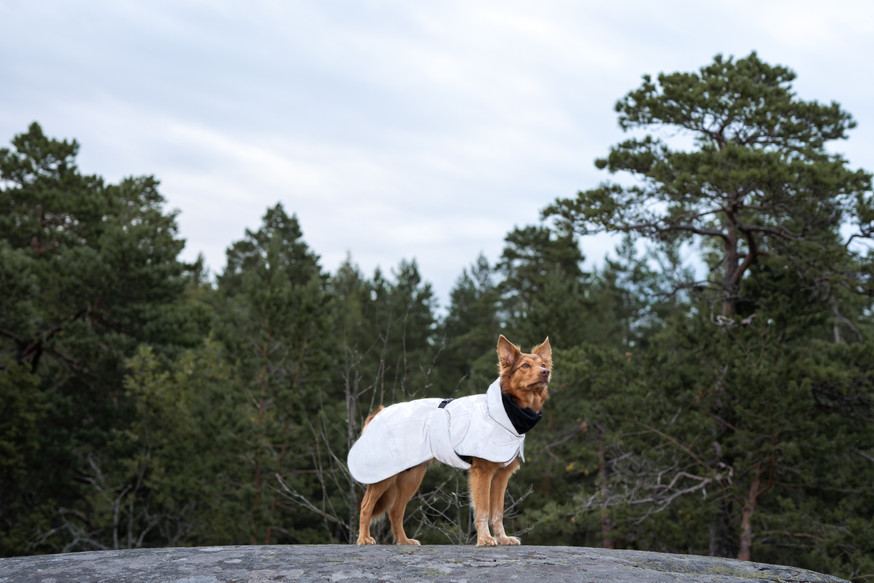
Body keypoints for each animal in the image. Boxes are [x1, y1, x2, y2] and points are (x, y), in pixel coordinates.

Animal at [344, 338, 548, 548]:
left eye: (543, 364)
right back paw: (363, 538)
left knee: (395, 511)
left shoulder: (501, 475)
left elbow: (498, 512)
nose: (546, 372)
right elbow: (483, 509)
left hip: (411, 477)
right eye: (525, 365)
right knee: (366, 506)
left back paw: (404, 540)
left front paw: (503, 538)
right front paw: (485, 539)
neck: (507, 410)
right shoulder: (482, 473)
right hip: (383, 475)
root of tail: (378, 412)